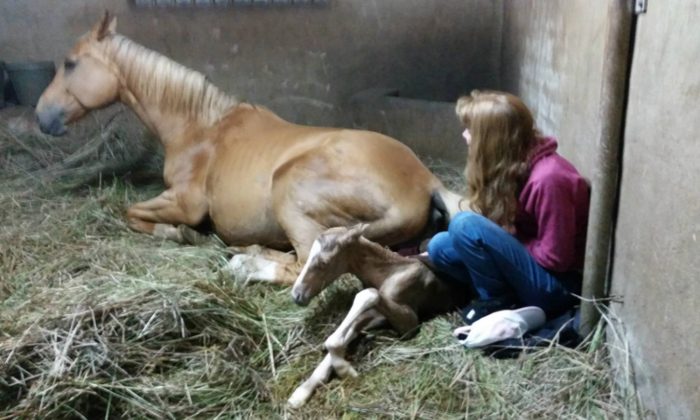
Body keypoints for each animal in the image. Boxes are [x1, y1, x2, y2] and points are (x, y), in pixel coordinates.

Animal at [36, 13, 462, 285]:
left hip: (290, 191)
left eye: (70, 64)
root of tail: (425, 181)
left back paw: (244, 263)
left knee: (301, 266)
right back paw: (252, 249)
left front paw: (181, 235)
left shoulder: (185, 202)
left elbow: (132, 213)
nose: (42, 116)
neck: (200, 128)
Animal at [288, 224, 472, 407]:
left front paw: (344, 370)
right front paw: (303, 390)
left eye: (323, 263)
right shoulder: (376, 315)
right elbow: (349, 331)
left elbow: (368, 295)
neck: (391, 273)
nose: (296, 295)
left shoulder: (409, 324)